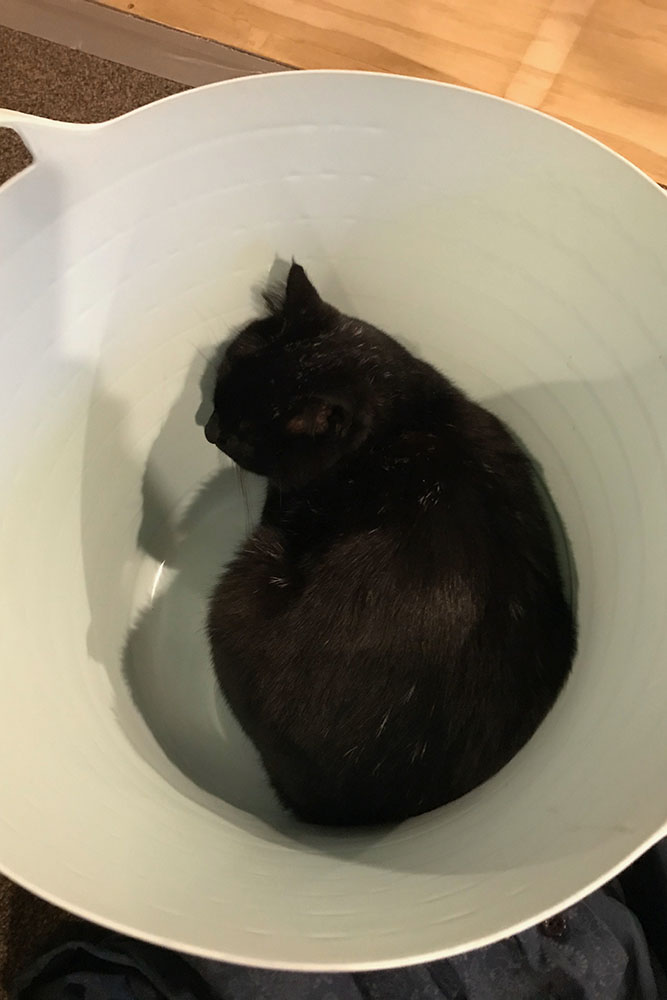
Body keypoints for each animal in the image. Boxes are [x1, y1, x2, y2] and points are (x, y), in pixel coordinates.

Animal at [204, 262, 576, 826]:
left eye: (244, 435)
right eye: (223, 382)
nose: (208, 429)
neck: (400, 417)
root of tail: (352, 811)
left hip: (249, 568)